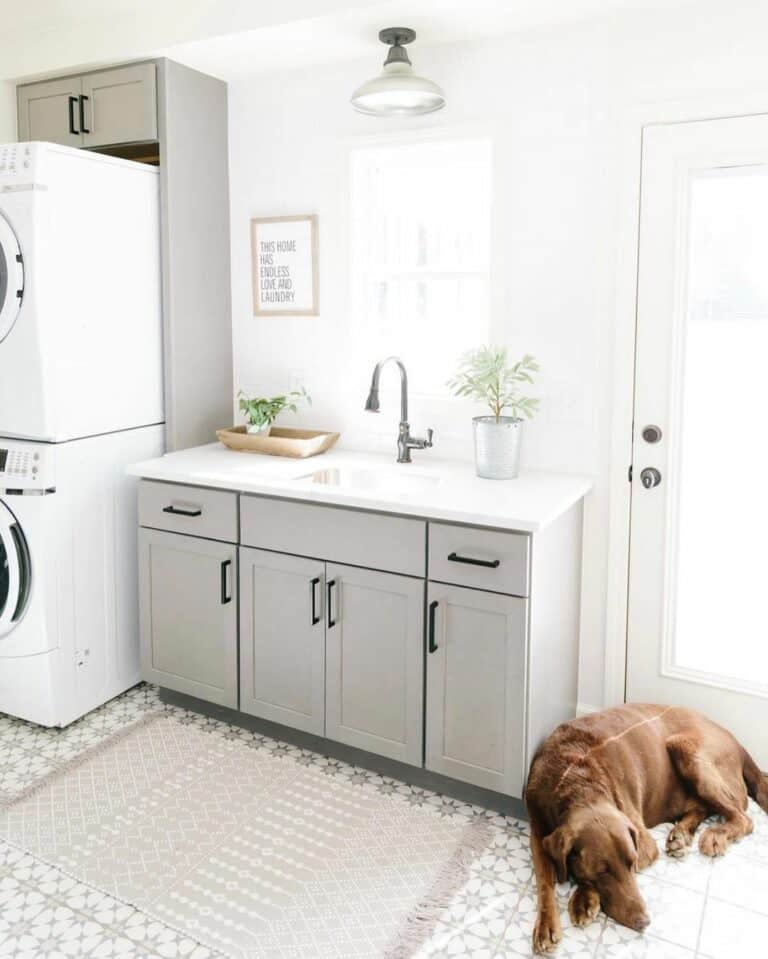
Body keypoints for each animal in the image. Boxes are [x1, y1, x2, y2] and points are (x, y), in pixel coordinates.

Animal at [524, 704, 768, 952]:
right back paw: (681, 835)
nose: (644, 921)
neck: (575, 779)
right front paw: (546, 924)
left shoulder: (644, 845)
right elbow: (544, 879)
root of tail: (739, 745)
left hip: (686, 750)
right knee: (705, 807)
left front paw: (583, 898)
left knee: (743, 817)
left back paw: (715, 835)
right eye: (603, 871)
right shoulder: (538, 831)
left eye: (632, 862)